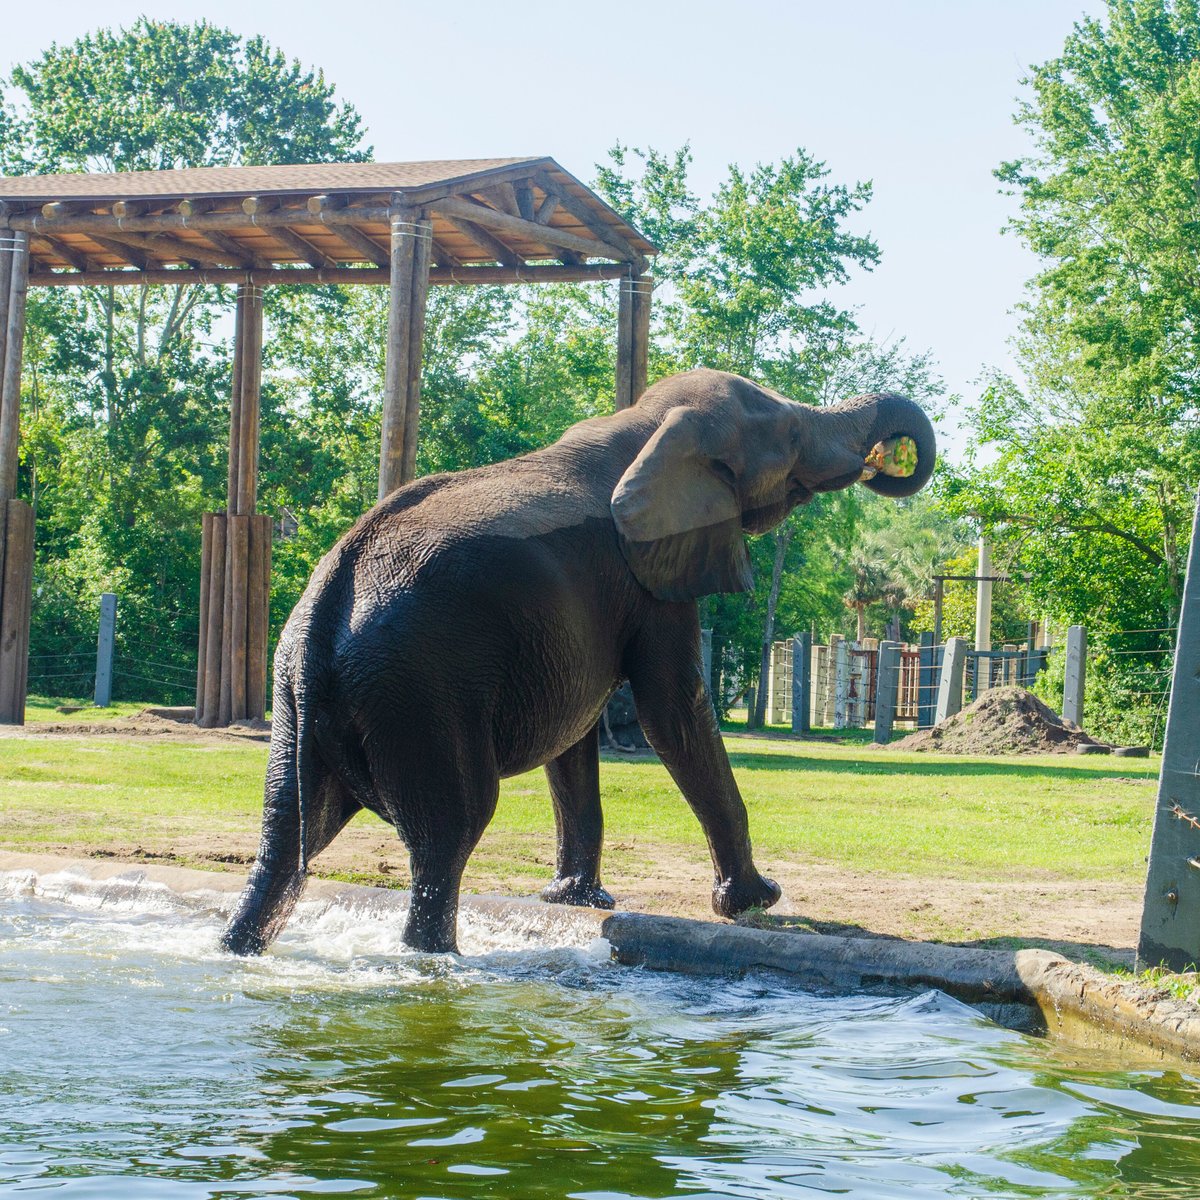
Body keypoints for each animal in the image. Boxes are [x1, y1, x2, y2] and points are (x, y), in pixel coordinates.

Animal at [223, 364, 936, 955]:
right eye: (789, 432)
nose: (884, 460)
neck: (643, 425)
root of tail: (323, 608)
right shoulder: (646, 578)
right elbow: (674, 713)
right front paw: (756, 902)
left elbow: (575, 740)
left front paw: (579, 902)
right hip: (416, 693)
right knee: (448, 834)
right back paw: (435, 963)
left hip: (299, 702)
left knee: (285, 837)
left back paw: (240, 949)